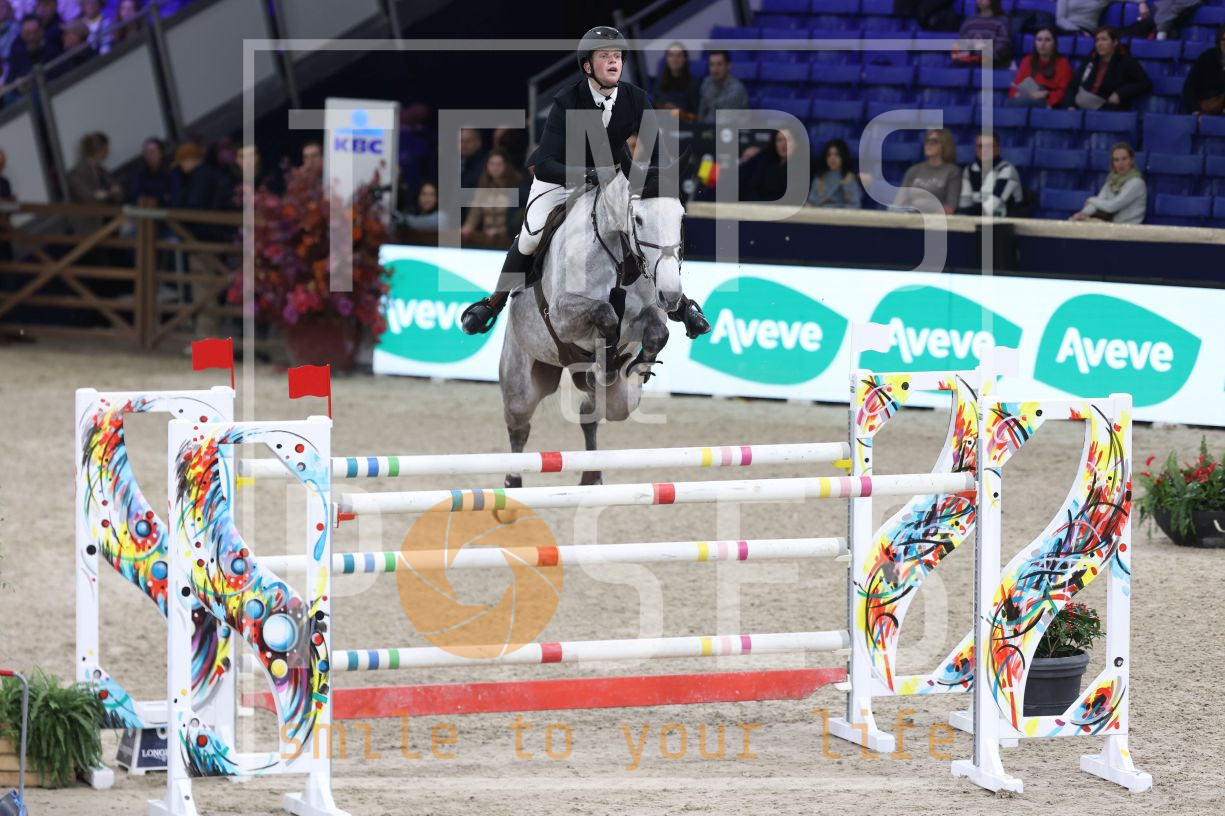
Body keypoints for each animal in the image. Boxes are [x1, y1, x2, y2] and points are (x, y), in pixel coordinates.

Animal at [499, 170, 686, 488]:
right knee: (519, 426)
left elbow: (657, 332)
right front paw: (606, 363)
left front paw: (638, 364)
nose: (672, 295)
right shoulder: (561, 316)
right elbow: (605, 313)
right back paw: (513, 482)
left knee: (593, 410)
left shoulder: (647, 314)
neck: (618, 257)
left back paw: (592, 474)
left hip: (616, 399)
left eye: (681, 216)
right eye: (639, 219)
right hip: (521, 382)